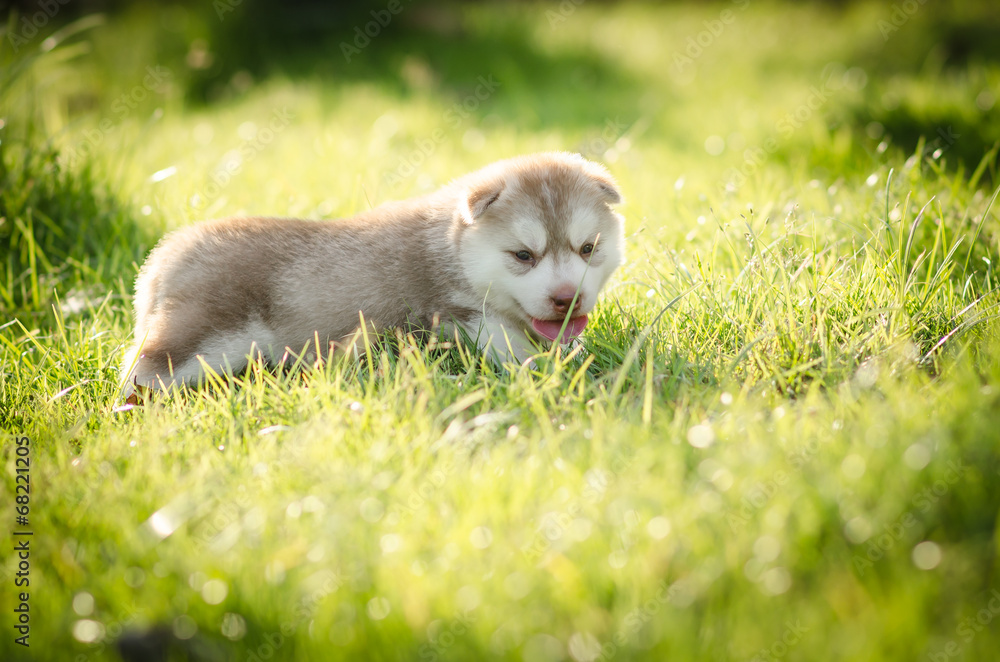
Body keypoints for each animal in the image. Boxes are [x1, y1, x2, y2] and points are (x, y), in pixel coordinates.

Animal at [121, 152, 624, 396]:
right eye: (523, 255)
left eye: (588, 248)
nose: (566, 299)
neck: (451, 247)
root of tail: (163, 256)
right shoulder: (459, 312)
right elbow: (515, 348)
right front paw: (551, 370)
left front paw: (574, 355)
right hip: (205, 335)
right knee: (143, 367)